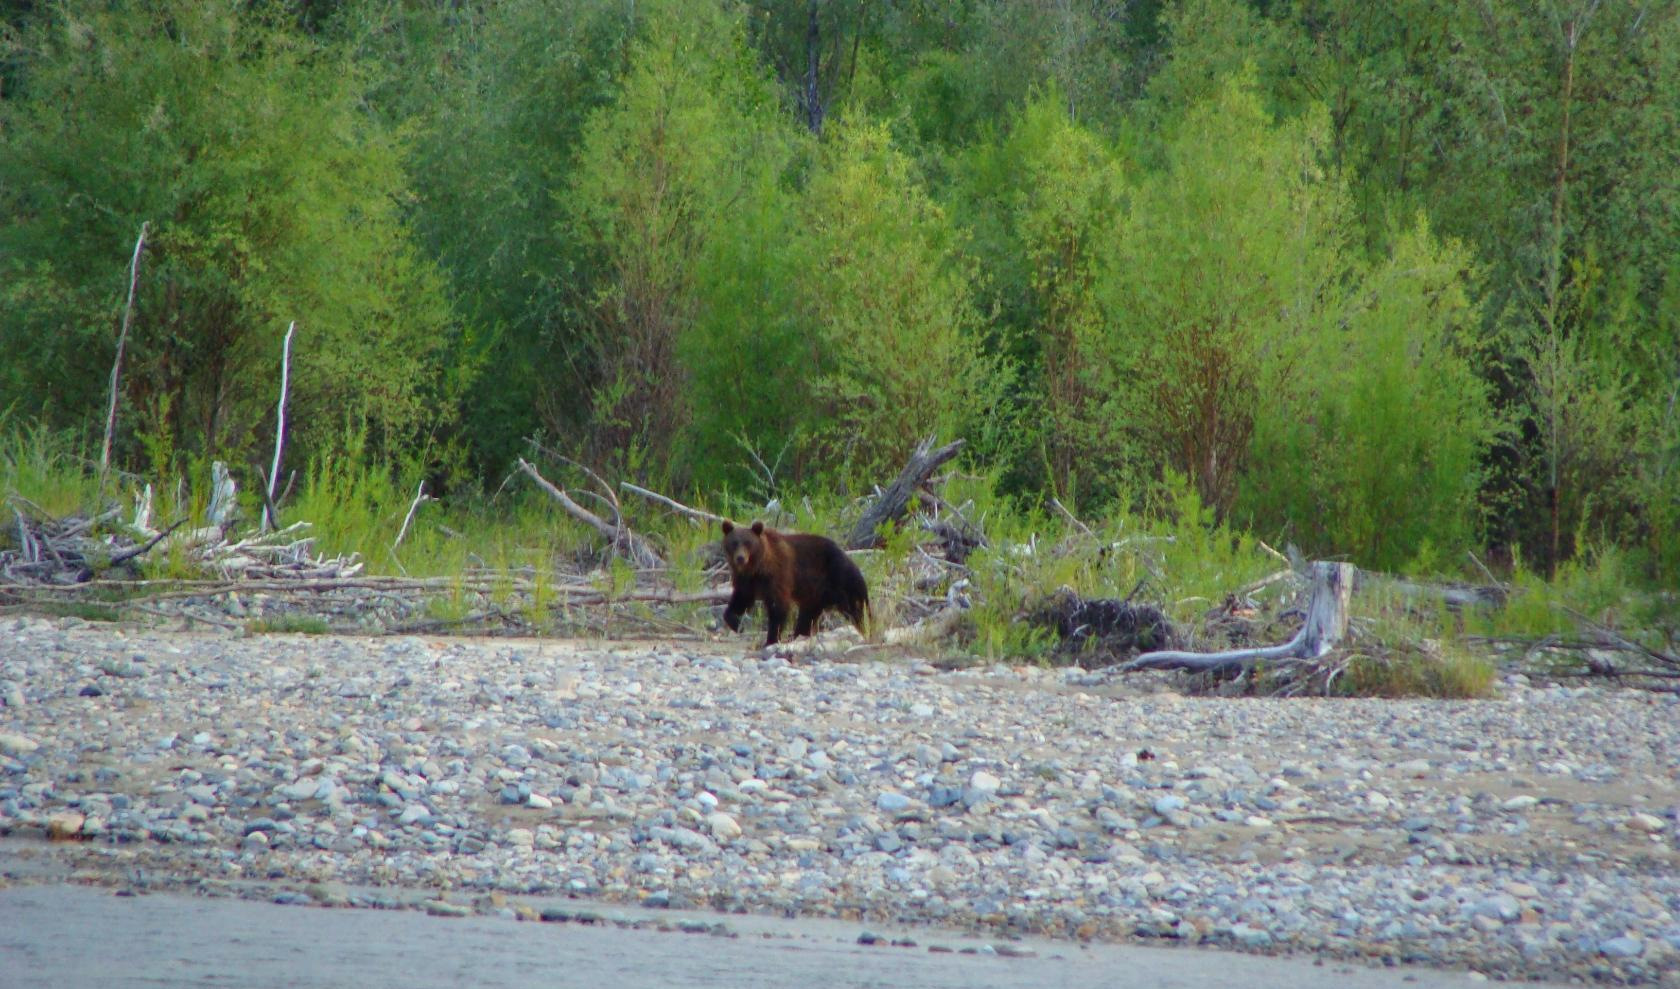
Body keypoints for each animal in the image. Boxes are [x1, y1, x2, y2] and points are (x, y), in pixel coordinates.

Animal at [722, 517, 873, 648]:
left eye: (748, 542)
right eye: (734, 543)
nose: (740, 558)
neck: (757, 568)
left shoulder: (778, 574)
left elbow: (778, 606)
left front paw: (771, 639)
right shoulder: (746, 581)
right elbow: (740, 600)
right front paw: (737, 624)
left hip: (842, 579)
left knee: (858, 609)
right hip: (816, 594)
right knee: (807, 615)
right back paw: (796, 636)